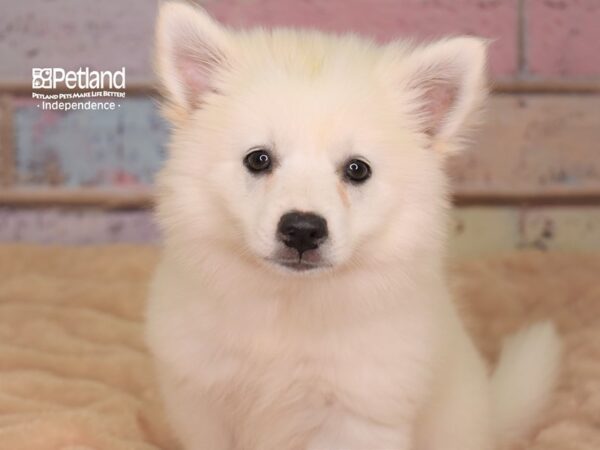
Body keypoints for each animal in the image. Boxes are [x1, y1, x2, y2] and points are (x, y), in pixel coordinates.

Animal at [146, 1, 564, 448]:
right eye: (258, 159)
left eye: (357, 169)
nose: (302, 229)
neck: (289, 306)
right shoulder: (203, 405)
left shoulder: (359, 414)